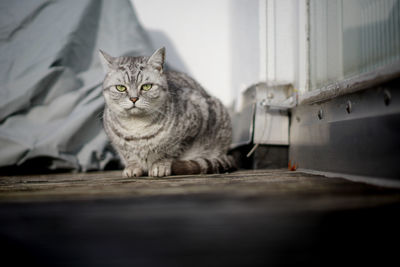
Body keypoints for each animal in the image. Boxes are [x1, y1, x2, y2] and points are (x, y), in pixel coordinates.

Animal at [100, 47, 236, 178]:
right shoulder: (117, 142)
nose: (133, 99)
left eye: (146, 86)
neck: (137, 126)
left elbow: (169, 152)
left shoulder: (190, 129)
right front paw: (133, 167)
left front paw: (160, 165)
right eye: (121, 88)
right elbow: (129, 155)